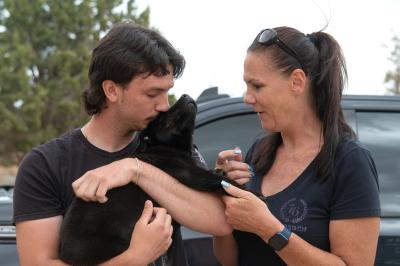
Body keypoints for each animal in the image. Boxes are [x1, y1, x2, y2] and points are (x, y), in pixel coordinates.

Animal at [59, 94, 241, 264]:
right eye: (161, 116)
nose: (184, 95)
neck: (166, 147)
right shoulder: (190, 174)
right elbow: (223, 182)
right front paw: (246, 194)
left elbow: (218, 175)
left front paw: (222, 171)